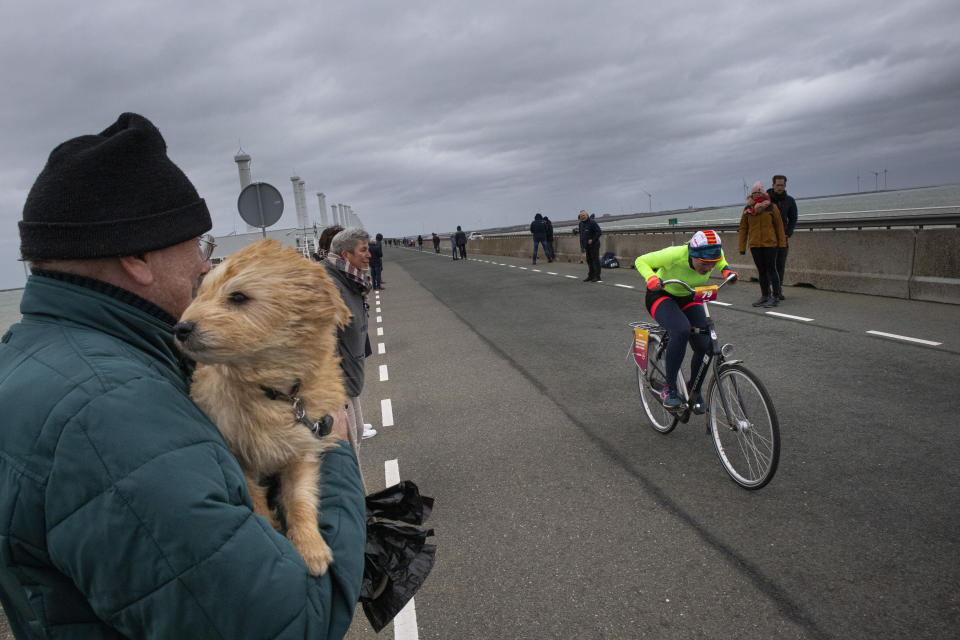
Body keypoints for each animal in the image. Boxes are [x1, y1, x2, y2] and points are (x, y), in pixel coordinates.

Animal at [174, 239, 350, 576]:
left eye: (239, 297)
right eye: (201, 293)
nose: (181, 328)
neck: (273, 393)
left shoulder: (303, 451)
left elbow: (300, 498)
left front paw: (310, 545)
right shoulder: (239, 456)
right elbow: (255, 499)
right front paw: (274, 531)